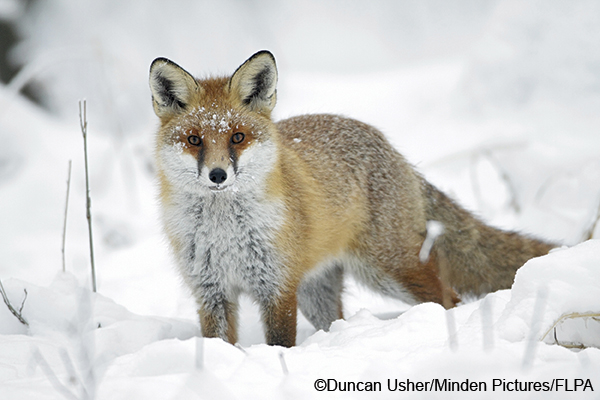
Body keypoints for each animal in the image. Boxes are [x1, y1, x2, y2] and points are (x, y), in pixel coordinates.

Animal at [149, 50, 554, 347]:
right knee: (338, 321)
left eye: (237, 137)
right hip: (318, 294)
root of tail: (389, 147)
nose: (218, 175)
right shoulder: (211, 291)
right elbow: (218, 344)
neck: (224, 233)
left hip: (390, 269)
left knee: (449, 298)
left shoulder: (278, 287)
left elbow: (280, 344)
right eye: (194, 140)